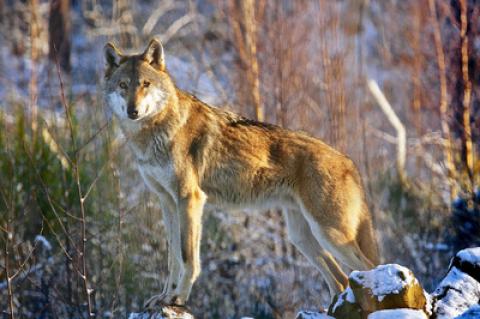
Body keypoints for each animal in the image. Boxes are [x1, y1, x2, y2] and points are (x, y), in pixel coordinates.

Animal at [102, 38, 378, 310]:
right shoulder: (167, 202)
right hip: (302, 238)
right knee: (340, 280)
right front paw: (164, 297)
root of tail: (349, 162)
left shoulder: (190, 199)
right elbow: (173, 258)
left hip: (330, 234)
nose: (133, 111)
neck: (155, 132)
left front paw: (178, 298)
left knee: (369, 268)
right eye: (123, 85)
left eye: (145, 84)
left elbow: (187, 257)